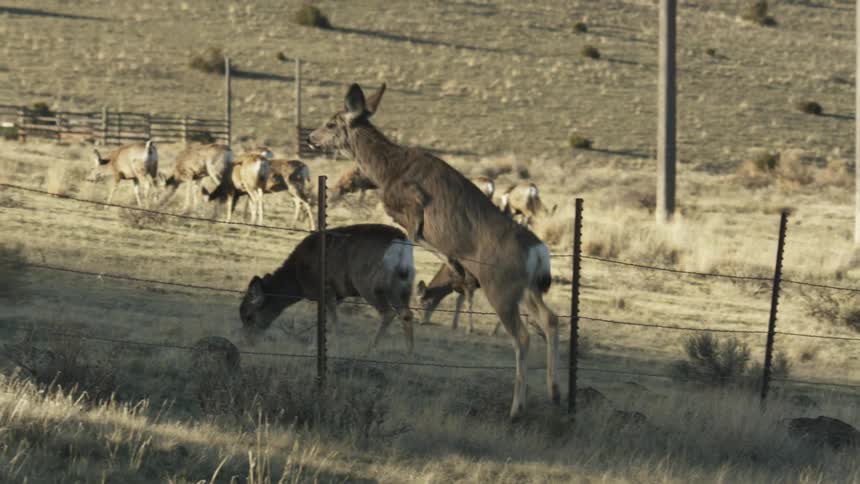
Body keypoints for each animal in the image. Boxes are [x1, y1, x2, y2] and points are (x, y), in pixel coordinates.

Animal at [239, 224, 416, 353]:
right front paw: (314, 347)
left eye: (248, 316)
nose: (248, 342)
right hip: (403, 284)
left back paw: (370, 348)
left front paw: (336, 346)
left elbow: (332, 320)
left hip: (367, 282)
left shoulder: (326, 288)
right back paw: (409, 352)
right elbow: (324, 320)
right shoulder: (337, 295)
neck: (297, 279)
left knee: (388, 312)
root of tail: (401, 243)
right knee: (407, 313)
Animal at [309, 83, 559, 419]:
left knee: (522, 336)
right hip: (528, 289)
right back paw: (554, 393)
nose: (311, 138)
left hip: (501, 287)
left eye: (331, 123)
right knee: (551, 320)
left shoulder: (412, 206)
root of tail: (537, 250)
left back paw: (516, 409)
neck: (388, 170)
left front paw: (455, 266)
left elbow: (420, 239)